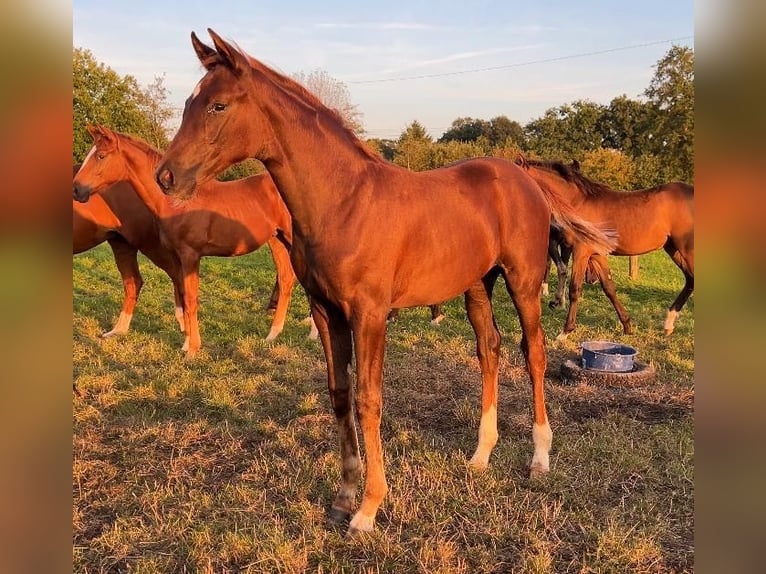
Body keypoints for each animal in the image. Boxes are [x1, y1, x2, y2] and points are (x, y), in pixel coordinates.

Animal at [520, 158, 692, 338]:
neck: (576, 203)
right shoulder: (597, 254)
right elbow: (609, 287)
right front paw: (627, 326)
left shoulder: (581, 251)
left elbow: (575, 289)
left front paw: (565, 332)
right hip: (674, 249)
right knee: (690, 280)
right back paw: (668, 324)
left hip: (687, 248)